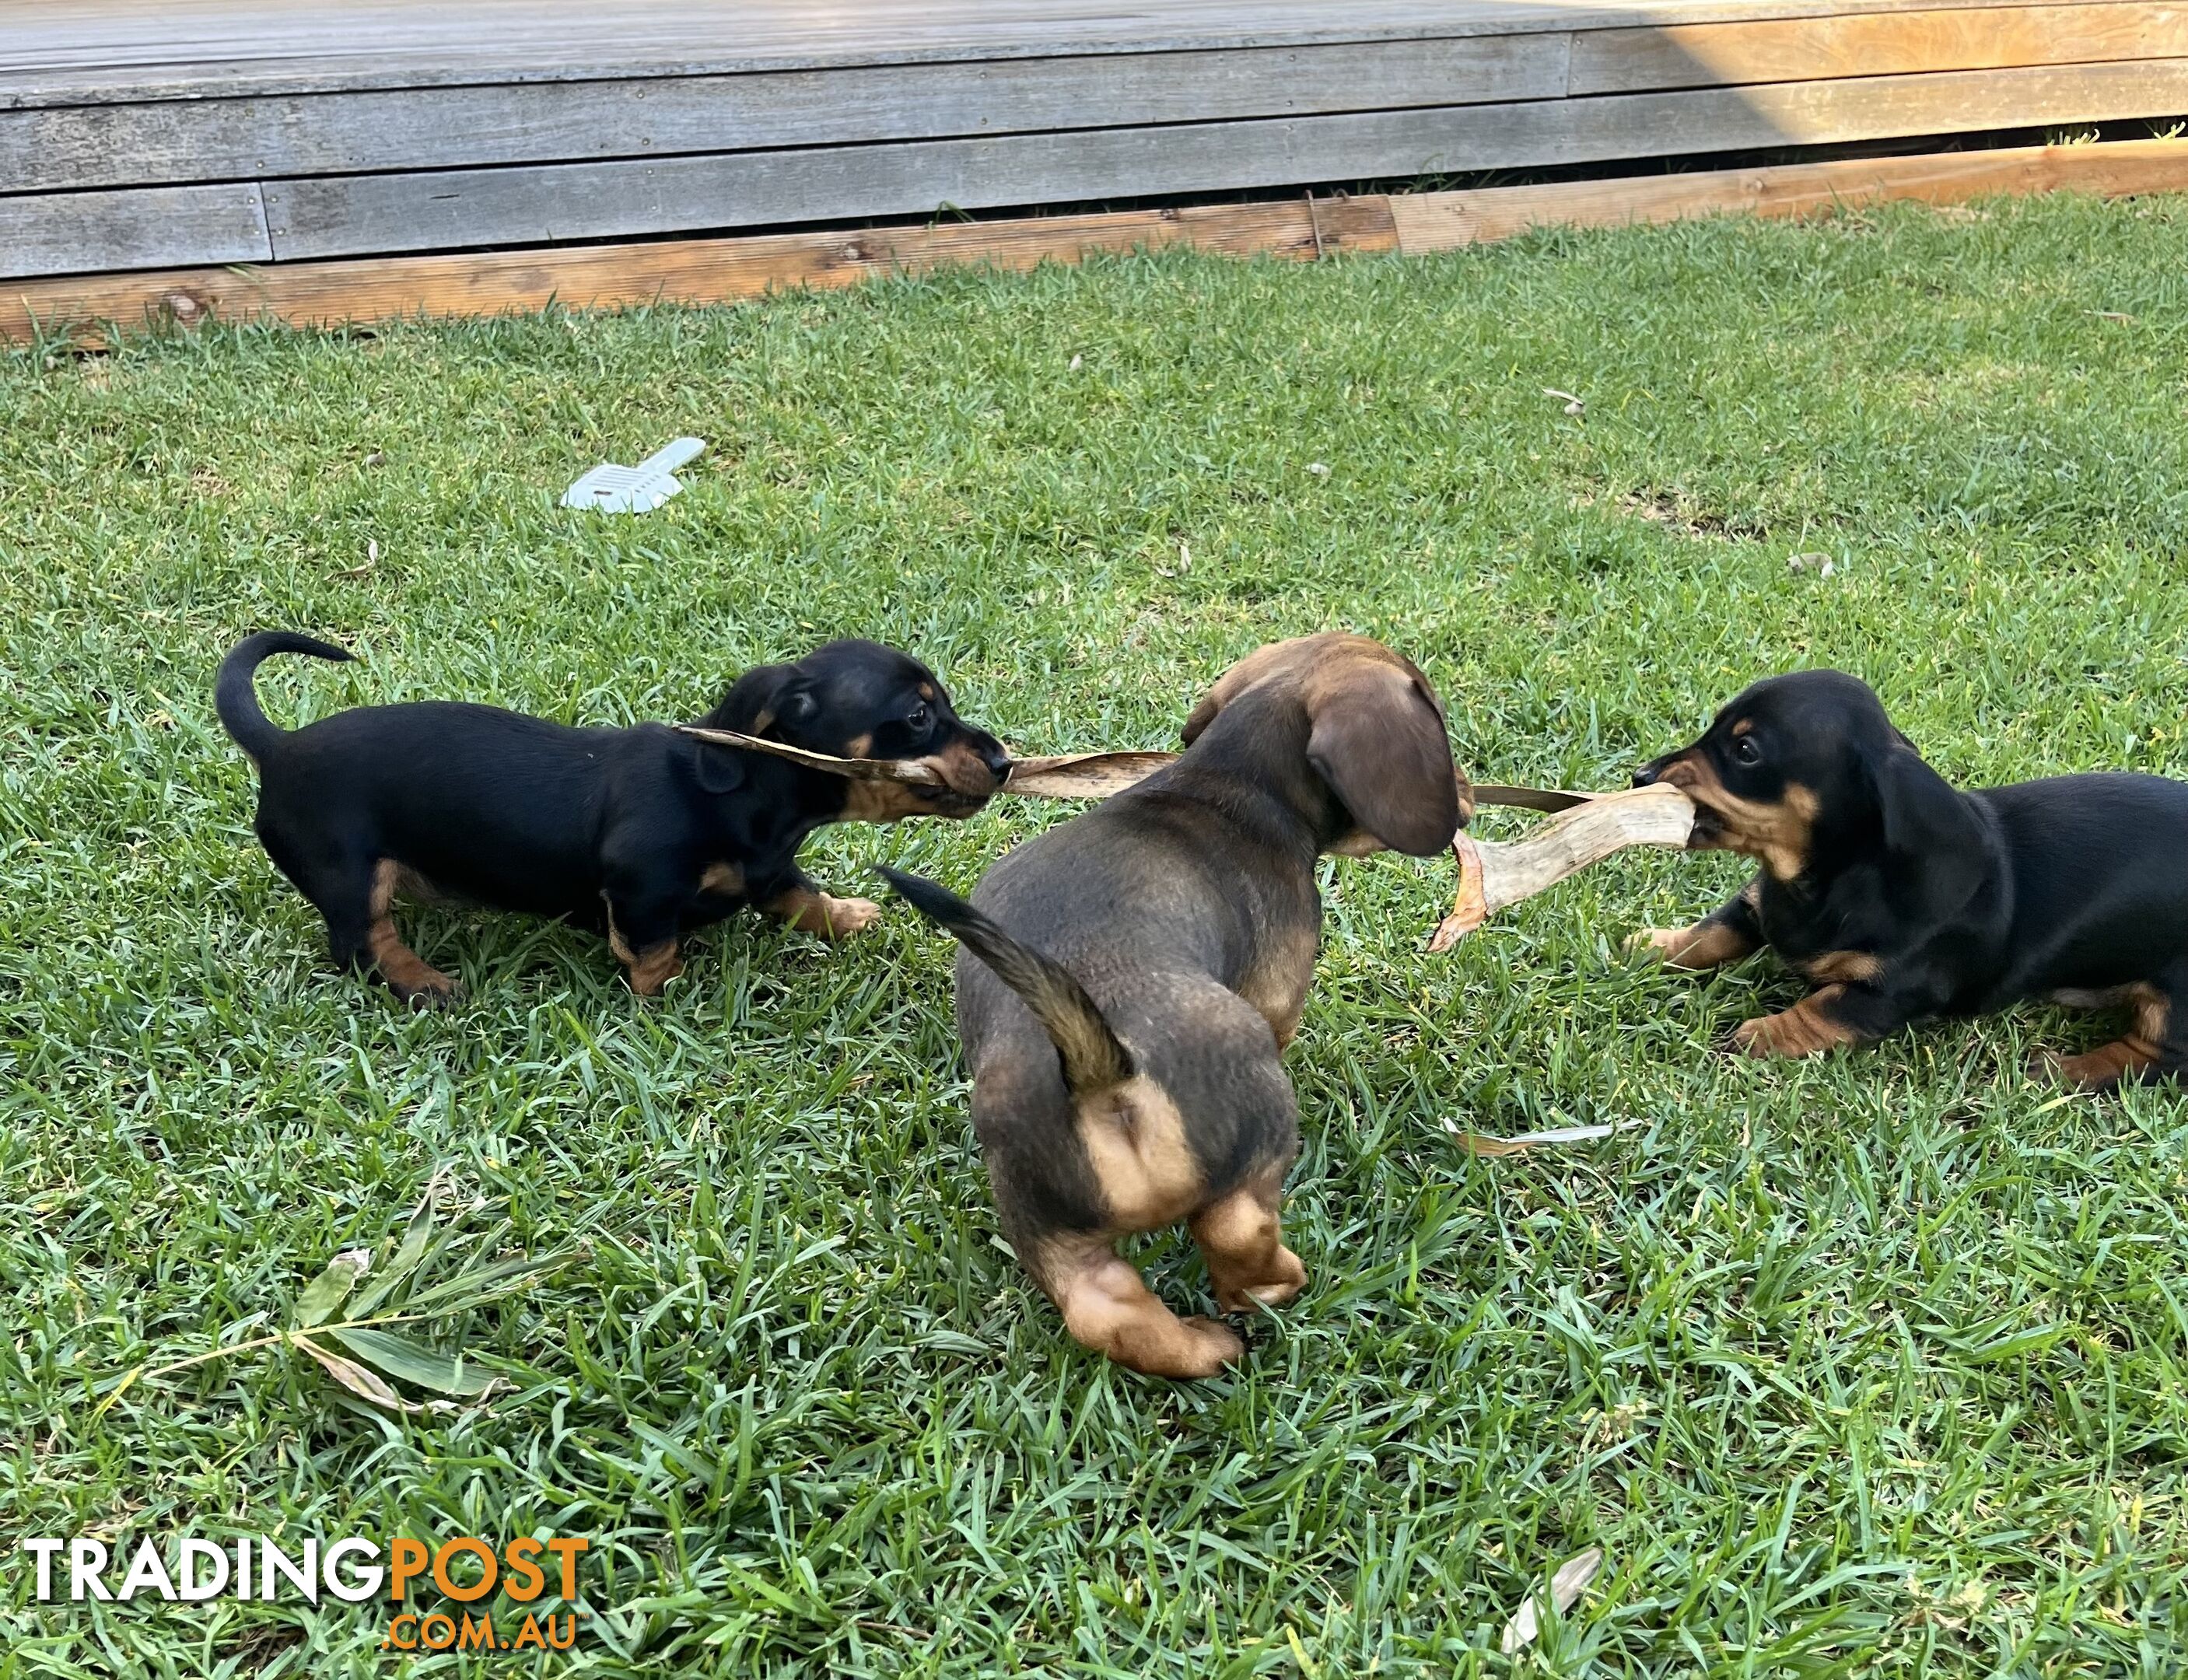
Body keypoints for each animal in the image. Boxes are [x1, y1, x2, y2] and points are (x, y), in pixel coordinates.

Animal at [219, 630, 1006, 997]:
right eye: (917, 716)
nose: (1002, 761)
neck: (748, 792)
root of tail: (279, 747)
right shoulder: (642, 889)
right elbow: (652, 949)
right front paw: (668, 990)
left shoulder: (772, 866)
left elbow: (798, 896)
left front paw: (845, 916)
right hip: (350, 875)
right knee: (359, 943)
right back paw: (422, 983)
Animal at [875, 634, 1470, 1382]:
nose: (1470, 799)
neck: (1227, 781)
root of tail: (1104, 1071)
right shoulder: (1276, 1005)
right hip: (1254, 1112)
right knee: (1233, 1227)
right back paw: (1271, 1289)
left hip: (1042, 1216)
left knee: (1107, 1313)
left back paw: (1204, 1346)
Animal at [1637, 669, 2188, 1089]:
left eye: (1746, 750)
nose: (1641, 776)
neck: (1824, 882)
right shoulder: (1757, 905)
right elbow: (1711, 933)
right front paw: (1654, 946)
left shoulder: (1890, 993)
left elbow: (1823, 1007)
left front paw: (1761, 1035)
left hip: (2174, 998)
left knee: (2157, 1058)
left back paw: (2065, 1070)